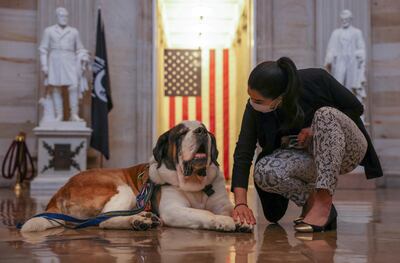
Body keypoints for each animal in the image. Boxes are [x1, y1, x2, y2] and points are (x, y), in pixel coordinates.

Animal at [20, 121, 252, 233]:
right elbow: (204, 213)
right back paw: (138, 221)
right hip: (121, 189)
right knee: (104, 220)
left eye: (204, 129)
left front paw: (240, 219)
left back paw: (144, 219)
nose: (201, 132)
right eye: (181, 133)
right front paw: (223, 221)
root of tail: (61, 190)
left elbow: (228, 209)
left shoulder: (221, 202)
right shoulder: (173, 210)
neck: (195, 183)